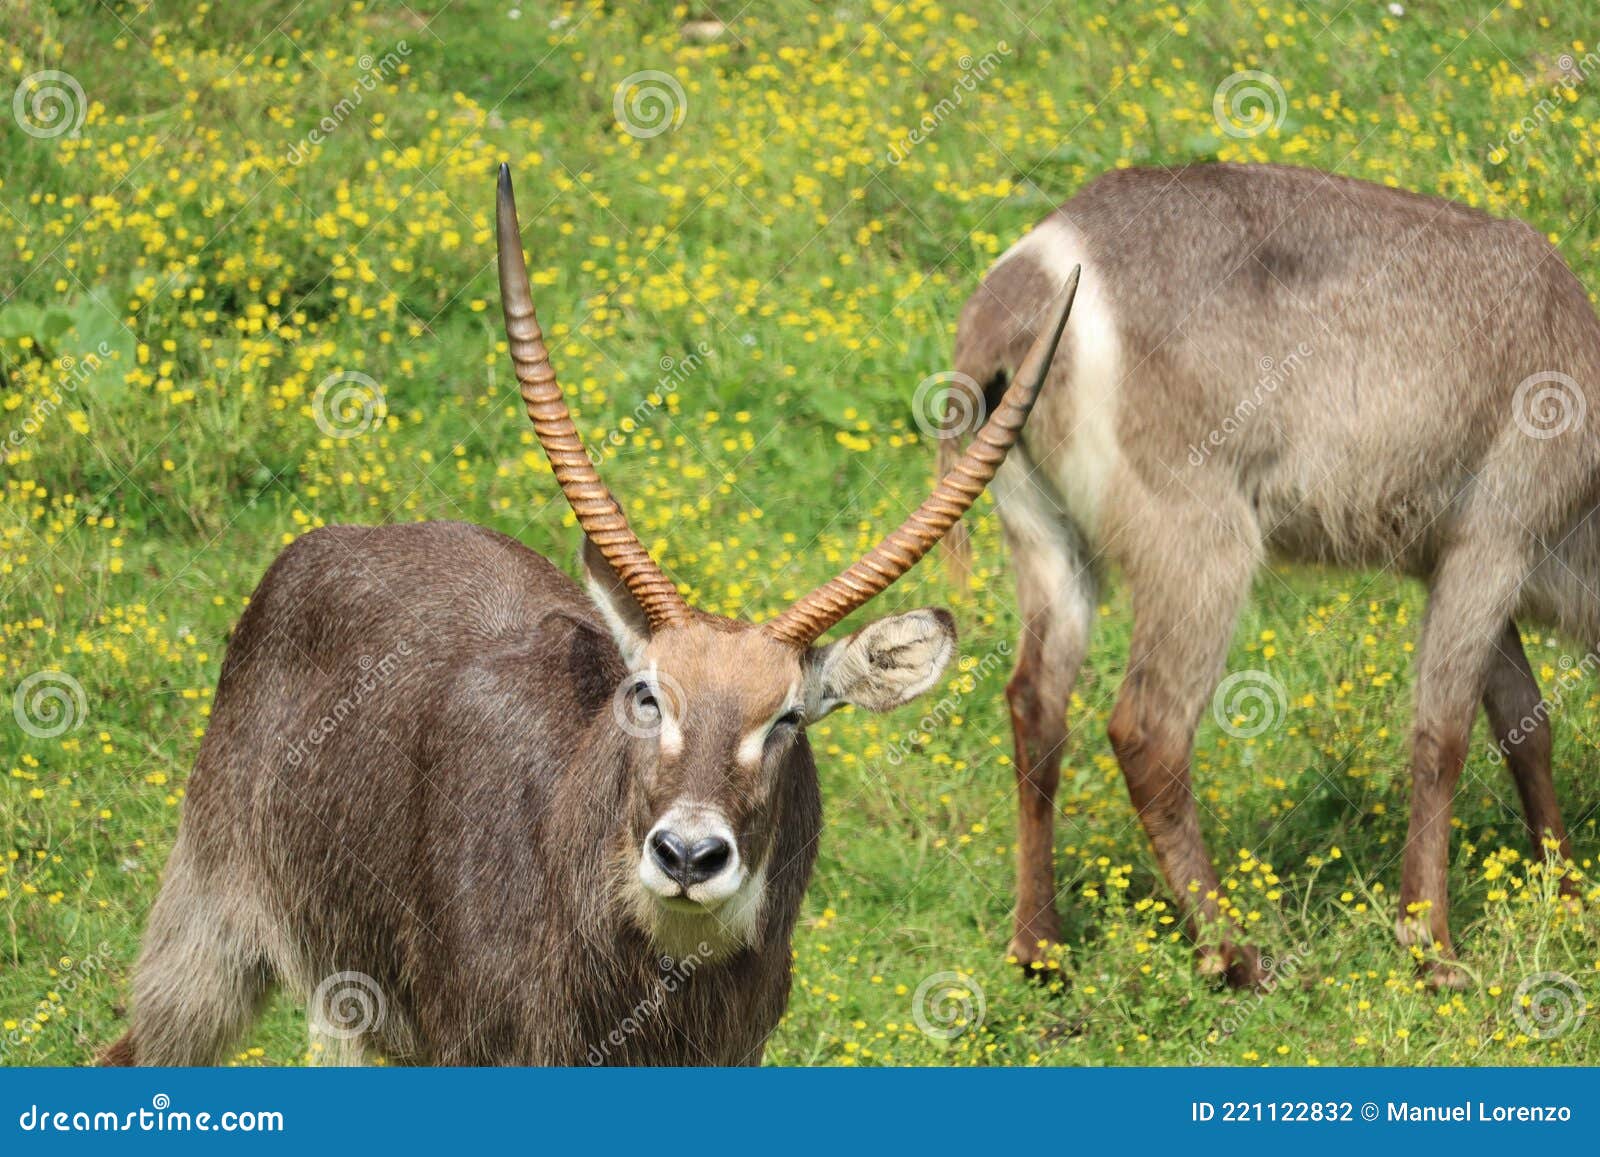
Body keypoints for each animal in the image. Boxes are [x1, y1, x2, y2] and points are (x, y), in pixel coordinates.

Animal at [940, 163, 1593, 992]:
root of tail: (1025, 285)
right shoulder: (1493, 542)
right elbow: (1443, 737)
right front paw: (1434, 947)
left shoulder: (1460, 567)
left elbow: (1525, 728)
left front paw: (1569, 899)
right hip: (1200, 542)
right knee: (1147, 730)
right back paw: (1231, 951)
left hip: (1049, 541)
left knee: (1034, 702)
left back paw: (1040, 947)